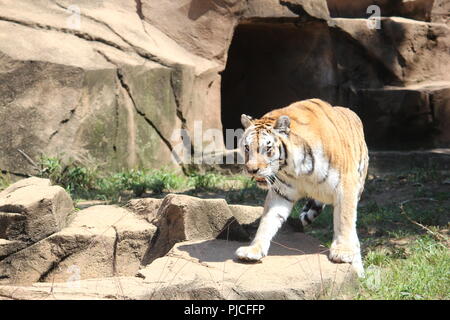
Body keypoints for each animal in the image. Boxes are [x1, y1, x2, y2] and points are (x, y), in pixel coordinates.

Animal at [234, 99, 368, 276]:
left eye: (267, 148)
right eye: (247, 147)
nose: (251, 170)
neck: (295, 168)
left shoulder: (346, 185)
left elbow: (344, 220)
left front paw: (342, 251)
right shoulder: (281, 192)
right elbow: (267, 221)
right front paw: (254, 250)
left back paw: (358, 272)